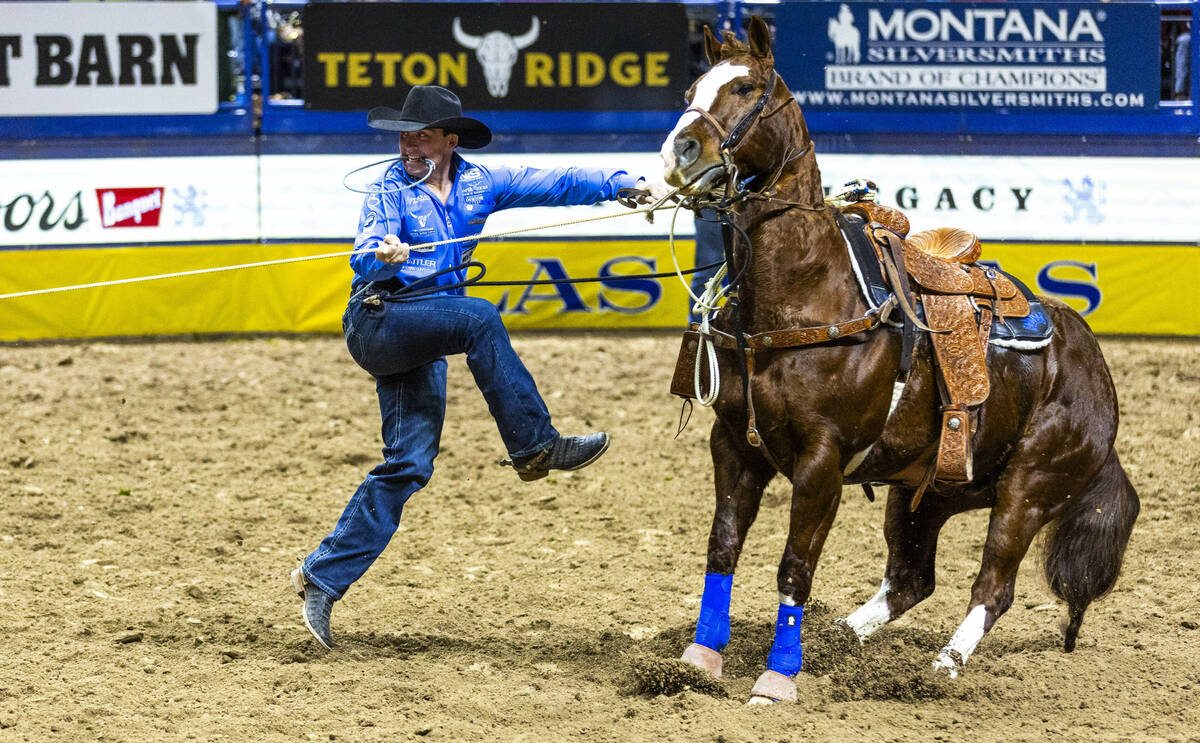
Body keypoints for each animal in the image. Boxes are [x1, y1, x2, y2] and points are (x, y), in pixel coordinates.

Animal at [659, 16, 1139, 704]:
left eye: (747, 88)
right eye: (692, 89)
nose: (679, 152)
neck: (807, 293)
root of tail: (1093, 368)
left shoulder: (822, 461)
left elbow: (794, 565)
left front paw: (776, 680)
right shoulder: (734, 445)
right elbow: (722, 547)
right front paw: (699, 660)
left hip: (1029, 488)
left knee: (993, 586)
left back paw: (941, 667)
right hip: (932, 487)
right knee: (911, 579)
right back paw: (837, 639)